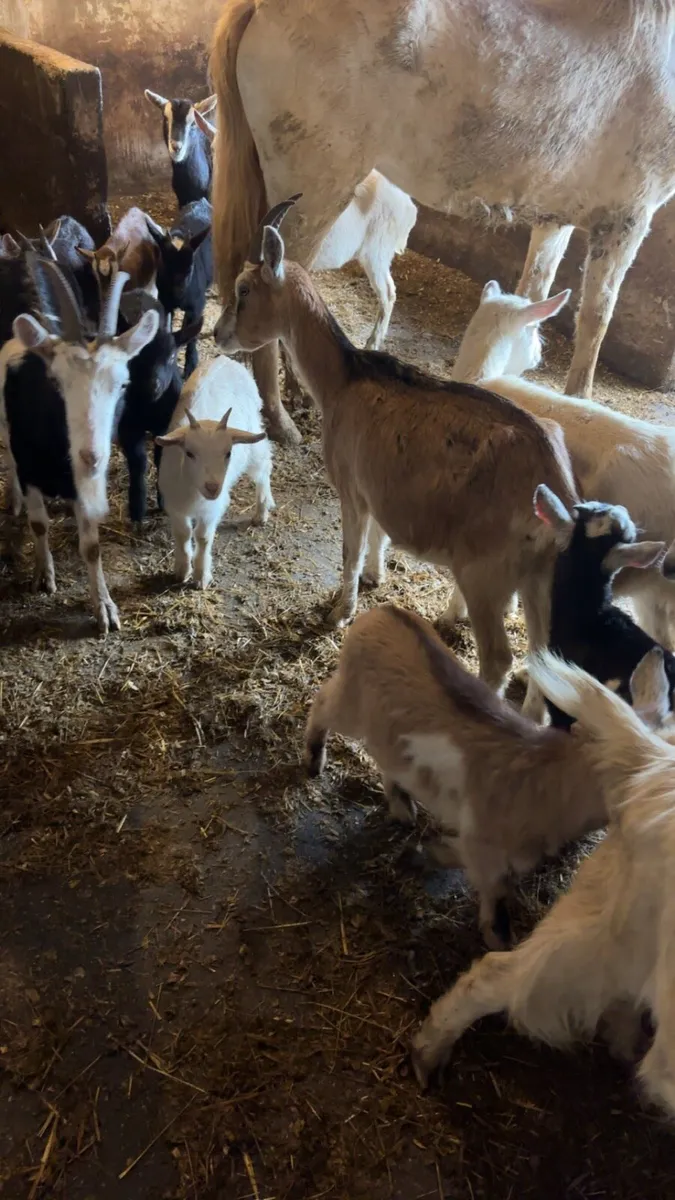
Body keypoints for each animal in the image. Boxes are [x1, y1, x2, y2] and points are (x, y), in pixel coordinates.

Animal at [0, 256, 159, 632]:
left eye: (123, 384)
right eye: (55, 382)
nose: (91, 456)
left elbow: (91, 547)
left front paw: (104, 607)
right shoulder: (30, 470)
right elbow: (39, 524)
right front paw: (43, 576)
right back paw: (13, 499)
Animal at [146, 200, 212, 379]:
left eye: (190, 269)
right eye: (163, 267)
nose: (178, 297)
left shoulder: (197, 305)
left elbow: (192, 335)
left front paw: (190, 367)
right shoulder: (165, 303)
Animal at [156, 355, 273, 588]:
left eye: (228, 453)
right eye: (189, 453)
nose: (212, 487)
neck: (193, 491)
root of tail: (226, 359)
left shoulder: (212, 508)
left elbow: (203, 537)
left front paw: (201, 575)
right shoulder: (175, 504)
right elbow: (183, 534)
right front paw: (181, 570)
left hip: (253, 438)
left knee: (264, 466)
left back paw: (262, 510)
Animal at [215, 198, 579, 720]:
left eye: (245, 289)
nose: (218, 334)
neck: (346, 378)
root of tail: (555, 485)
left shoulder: (350, 487)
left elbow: (348, 552)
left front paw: (339, 611)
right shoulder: (379, 486)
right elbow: (378, 536)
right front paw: (375, 576)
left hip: (484, 574)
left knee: (499, 659)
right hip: (540, 580)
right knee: (543, 660)